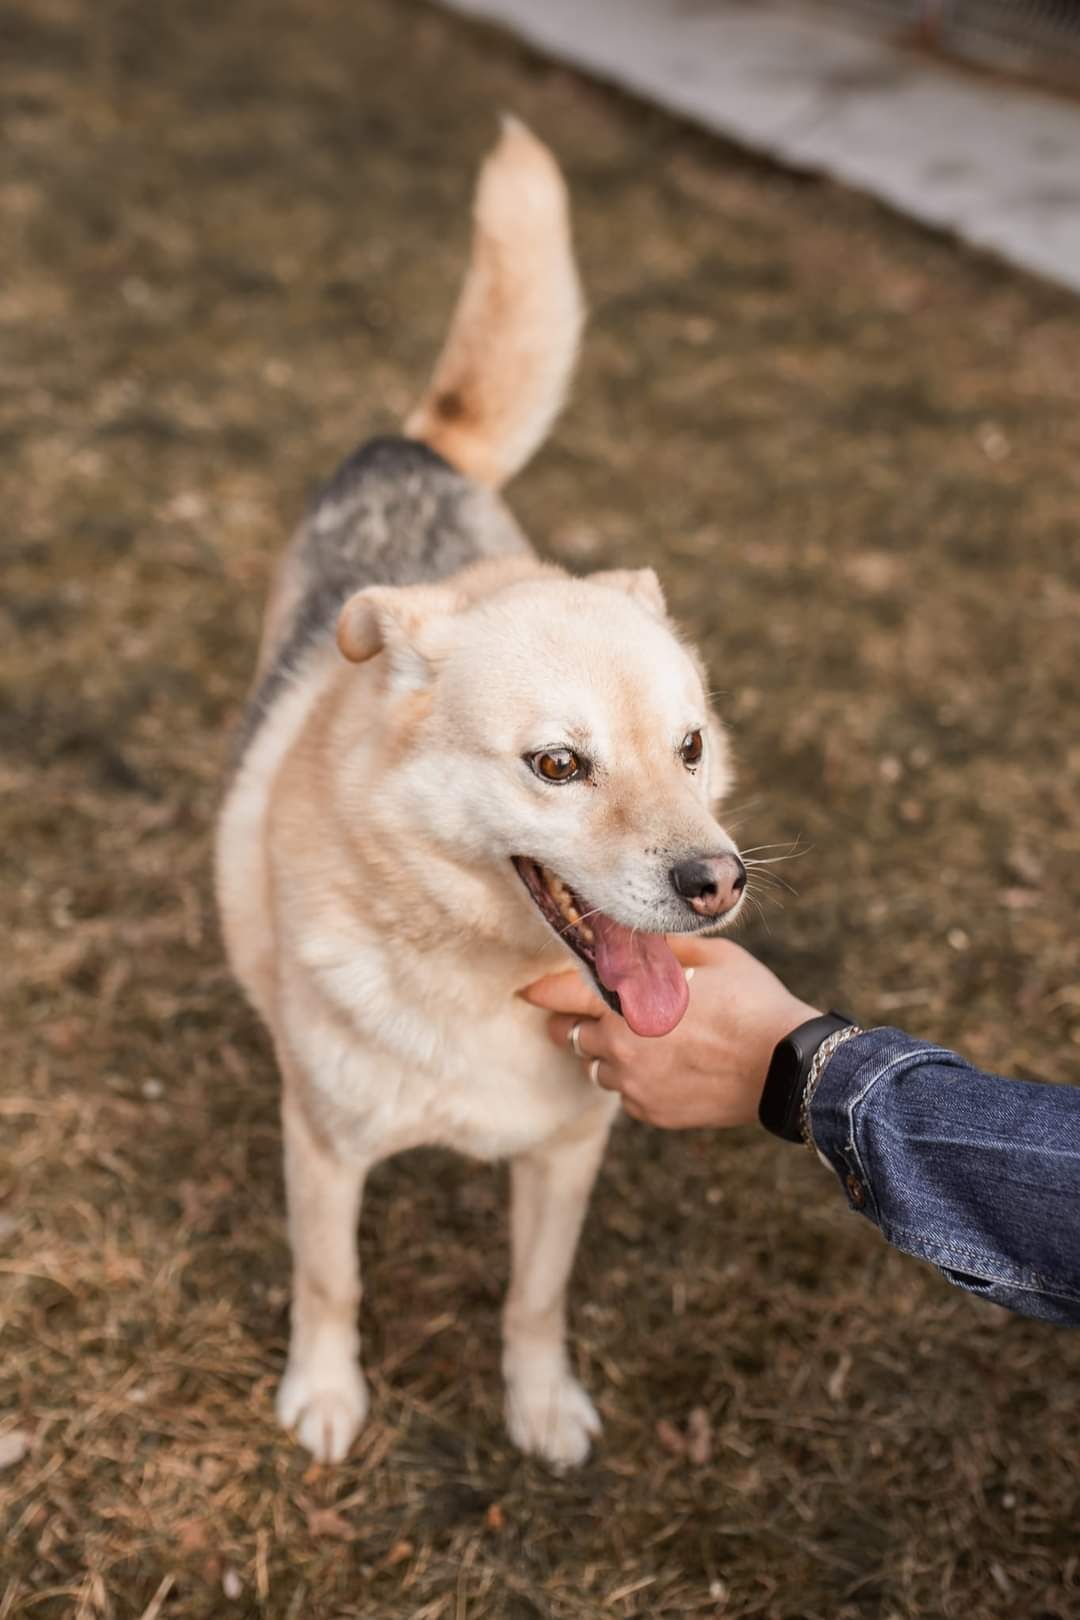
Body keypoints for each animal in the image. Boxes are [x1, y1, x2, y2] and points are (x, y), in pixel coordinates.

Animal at [215, 119, 748, 1477]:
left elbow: (536, 1297)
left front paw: (539, 1404)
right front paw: (327, 1395)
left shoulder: (571, 1150)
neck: (479, 980)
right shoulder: (324, 1147)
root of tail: (423, 444)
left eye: (689, 747)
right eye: (558, 765)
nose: (716, 886)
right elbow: (331, 1283)